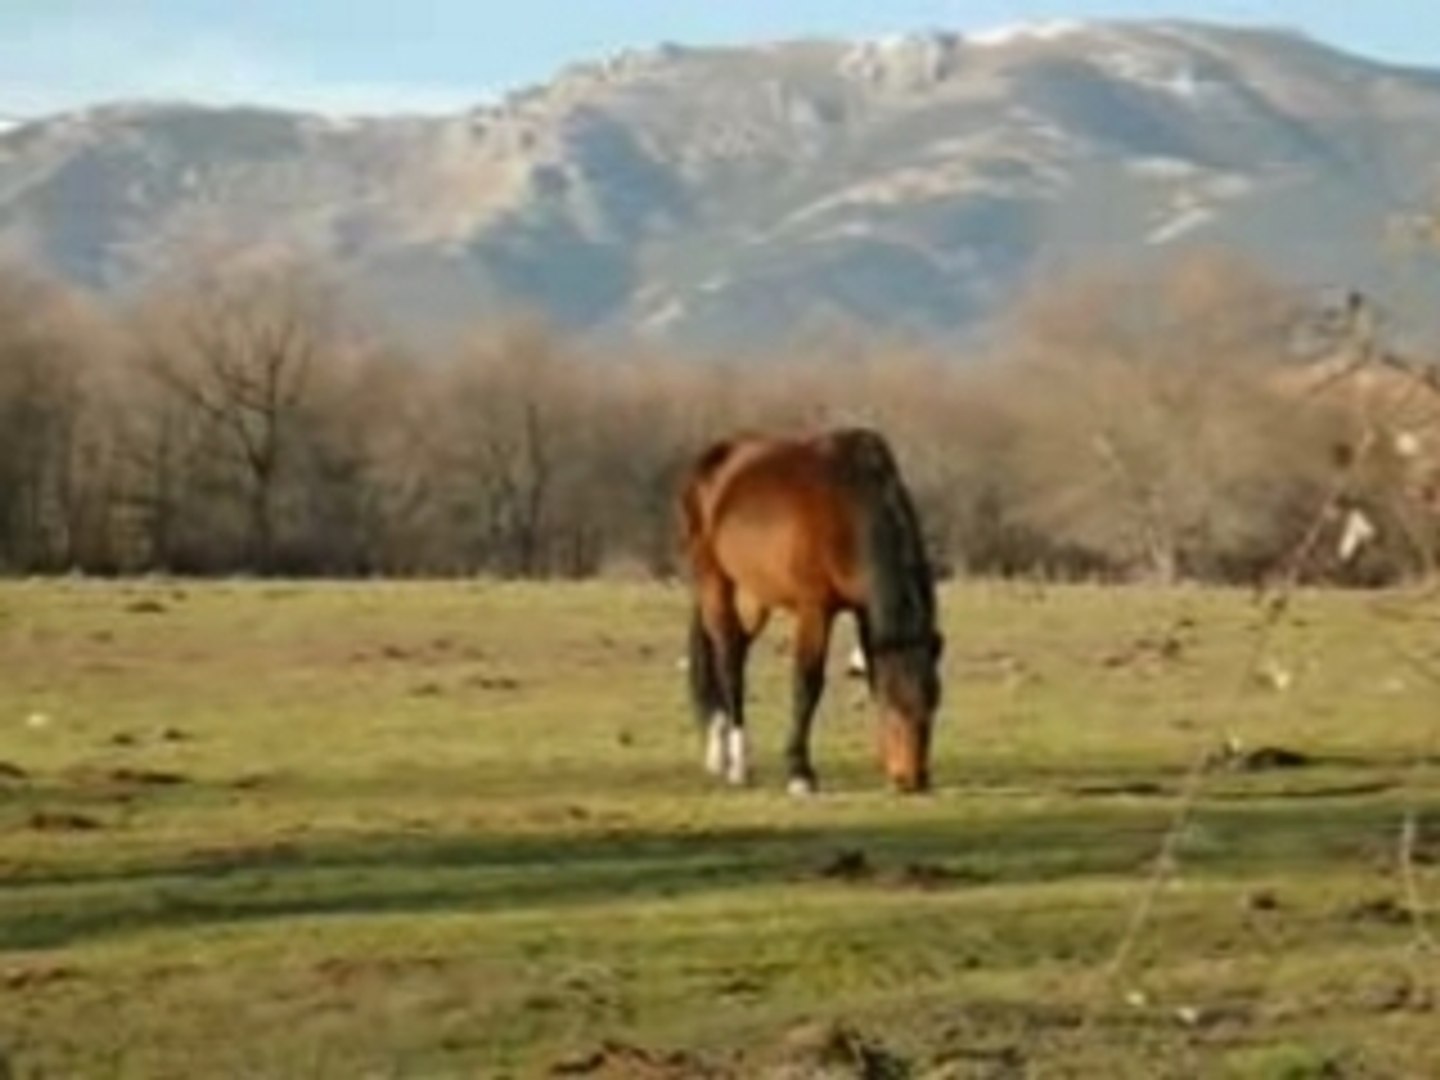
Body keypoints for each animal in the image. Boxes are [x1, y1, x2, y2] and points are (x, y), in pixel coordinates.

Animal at [676, 426, 944, 794]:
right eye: (893, 702)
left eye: (933, 702)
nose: (912, 779)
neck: (848, 505)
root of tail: (712, 461)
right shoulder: (814, 608)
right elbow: (807, 684)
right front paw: (800, 772)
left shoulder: (863, 608)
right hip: (714, 581)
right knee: (729, 662)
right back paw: (738, 765)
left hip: (752, 595)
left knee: (733, 653)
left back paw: (721, 751)